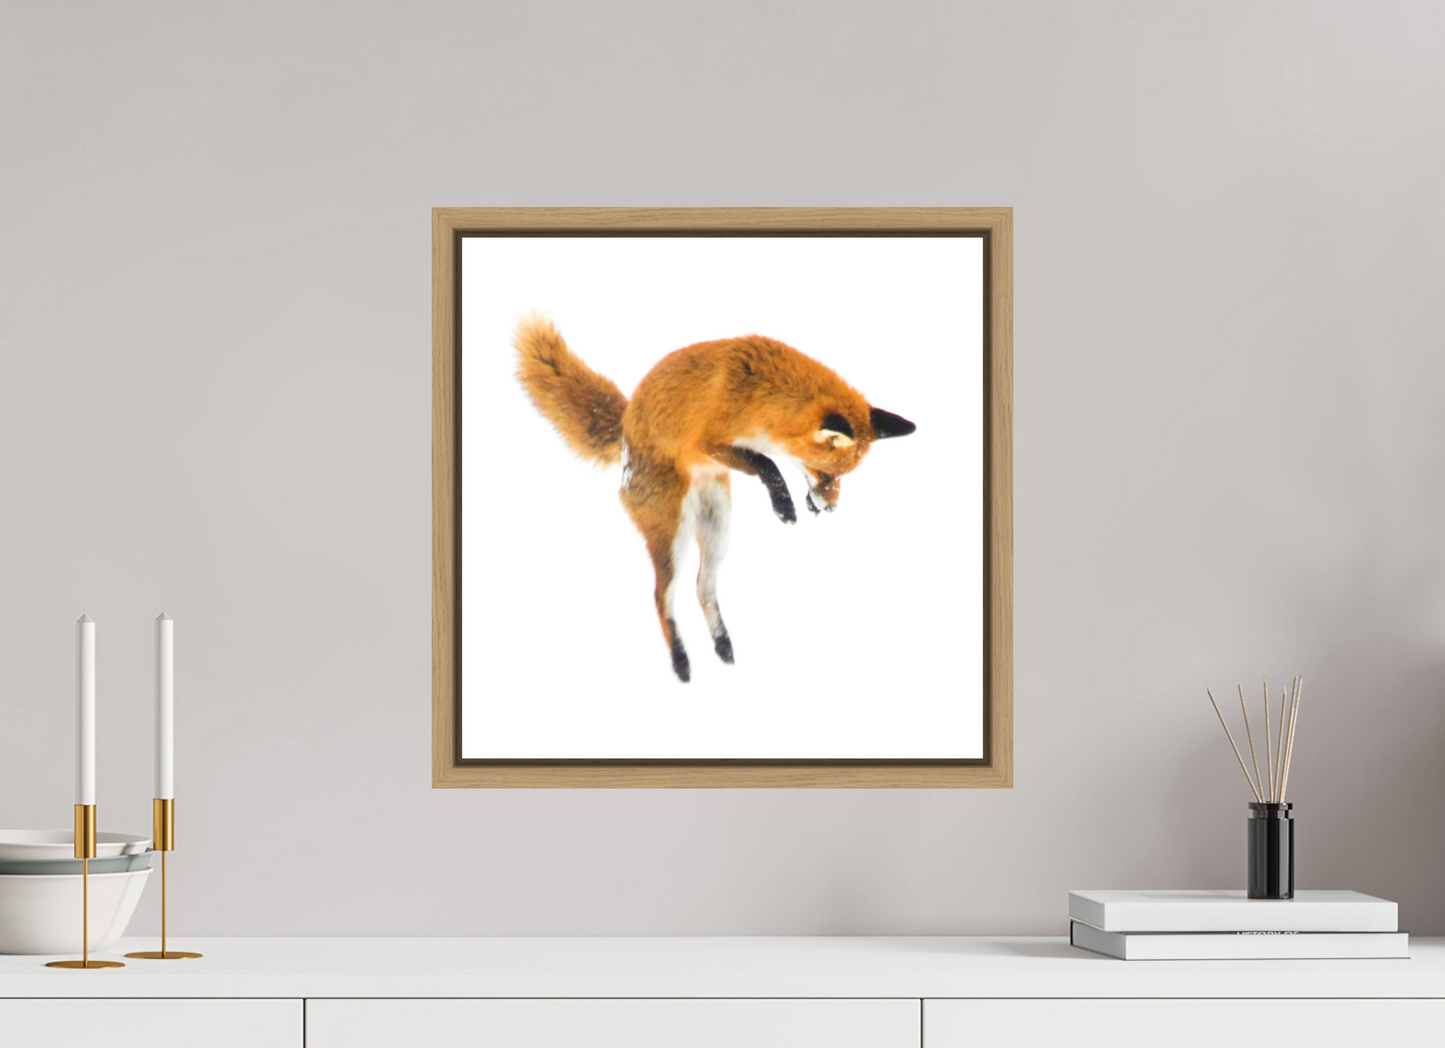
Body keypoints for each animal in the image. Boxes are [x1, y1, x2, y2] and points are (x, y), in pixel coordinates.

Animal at [514, 314, 915, 682]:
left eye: (842, 478)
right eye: (828, 475)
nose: (831, 508)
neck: (763, 392)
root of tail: (625, 428)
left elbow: (767, 462)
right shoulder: (710, 441)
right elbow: (767, 463)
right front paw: (783, 505)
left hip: (718, 528)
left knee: (702, 588)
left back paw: (722, 643)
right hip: (673, 534)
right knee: (661, 596)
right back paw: (680, 661)